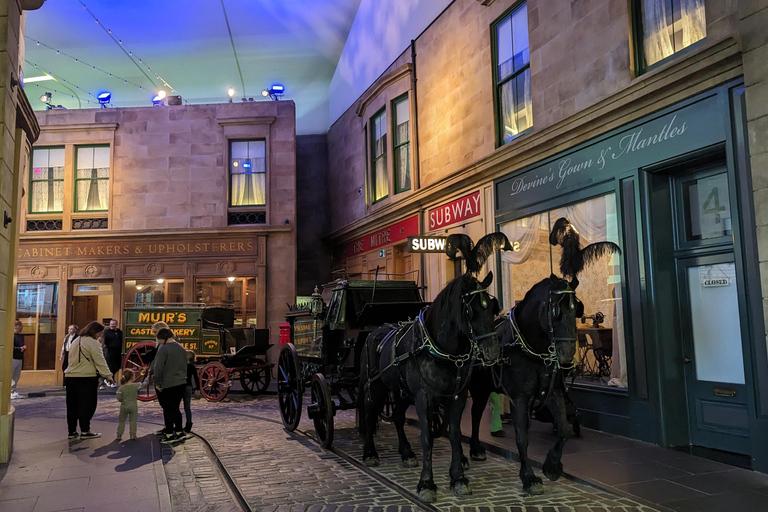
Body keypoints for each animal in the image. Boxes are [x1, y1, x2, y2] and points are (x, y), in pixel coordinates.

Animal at [358, 233, 510, 504]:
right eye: (470, 309)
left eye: (491, 307)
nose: (493, 351)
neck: (441, 350)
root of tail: (376, 330)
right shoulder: (423, 397)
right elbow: (427, 437)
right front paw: (427, 484)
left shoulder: (456, 397)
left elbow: (454, 434)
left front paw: (459, 478)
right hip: (375, 387)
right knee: (369, 412)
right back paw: (370, 453)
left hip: (401, 392)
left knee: (398, 416)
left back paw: (406, 453)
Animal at [464, 218, 620, 494]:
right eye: (555, 310)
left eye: (577, 309)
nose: (567, 357)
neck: (532, 349)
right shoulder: (520, 397)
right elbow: (521, 434)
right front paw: (528, 476)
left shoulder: (553, 392)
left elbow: (565, 429)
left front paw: (552, 466)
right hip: (477, 386)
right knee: (474, 412)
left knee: (476, 412)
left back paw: (475, 448)